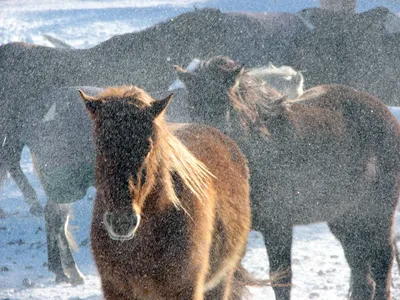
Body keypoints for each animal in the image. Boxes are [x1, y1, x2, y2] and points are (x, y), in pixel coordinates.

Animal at [80, 85, 258, 298]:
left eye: (148, 146)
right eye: (101, 145)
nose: (122, 221)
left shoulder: (187, 289)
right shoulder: (115, 290)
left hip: (221, 282)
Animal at [177, 55, 400, 298]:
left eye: (224, 106)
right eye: (192, 104)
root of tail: (385, 112)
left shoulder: (278, 226)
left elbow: (281, 279)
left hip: (378, 215)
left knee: (382, 264)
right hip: (346, 219)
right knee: (363, 278)